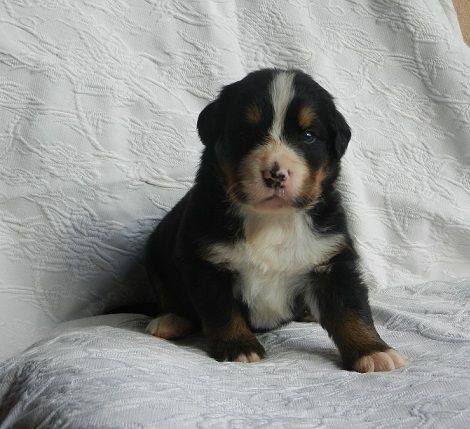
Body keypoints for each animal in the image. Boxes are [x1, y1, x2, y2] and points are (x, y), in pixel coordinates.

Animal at [144, 68, 405, 373]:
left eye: (308, 135)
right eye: (244, 132)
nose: (275, 173)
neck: (273, 220)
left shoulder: (331, 259)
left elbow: (350, 309)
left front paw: (374, 352)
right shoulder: (205, 261)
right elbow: (222, 311)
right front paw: (239, 347)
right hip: (154, 254)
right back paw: (169, 321)